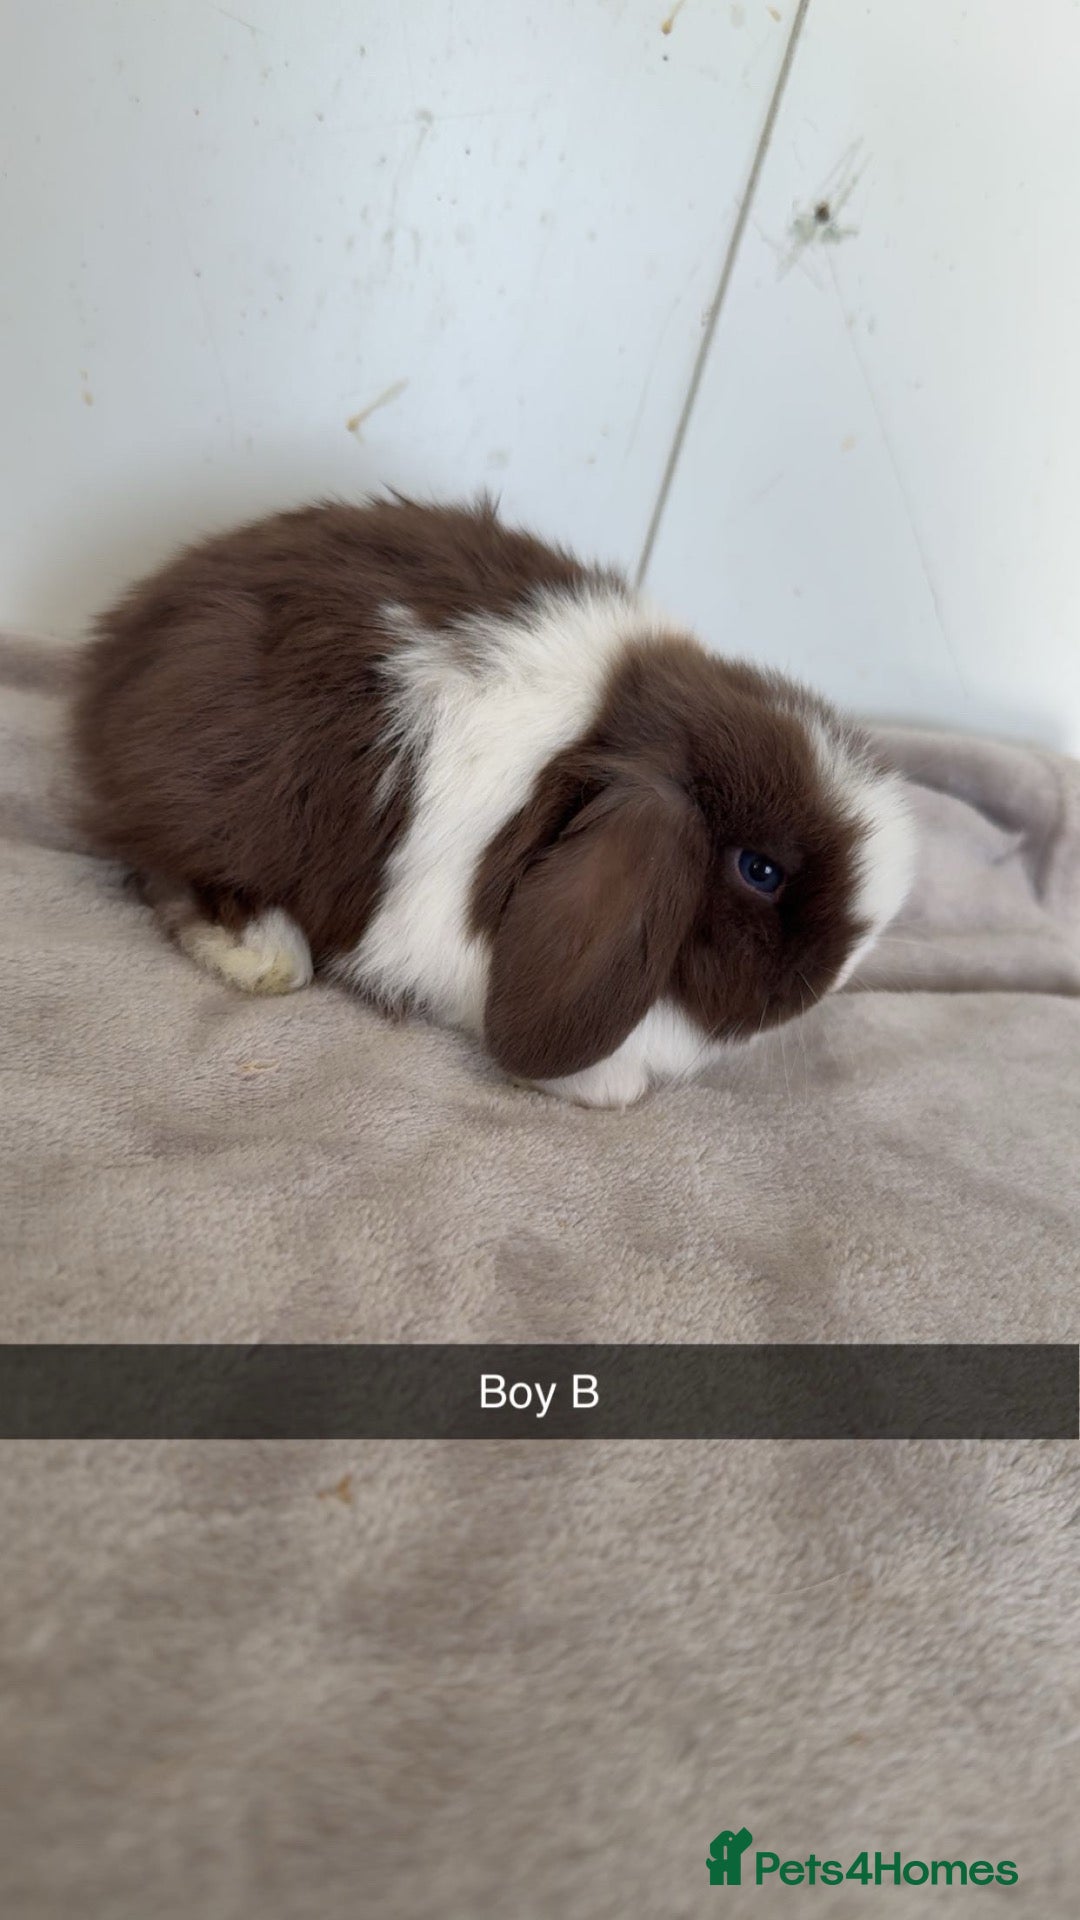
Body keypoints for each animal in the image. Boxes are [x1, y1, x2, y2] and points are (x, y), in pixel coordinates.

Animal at [71, 494, 915, 1108]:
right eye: (760, 870)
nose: (838, 973)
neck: (622, 729)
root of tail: (119, 653)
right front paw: (607, 1086)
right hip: (243, 811)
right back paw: (263, 952)